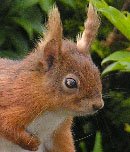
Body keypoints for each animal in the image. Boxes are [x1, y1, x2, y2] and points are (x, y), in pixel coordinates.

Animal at [0, 2, 103, 152]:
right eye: (70, 83)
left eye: (97, 72)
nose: (98, 105)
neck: (54, 112)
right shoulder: (15, 103)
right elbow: (6, 125)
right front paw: (33, 143)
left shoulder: (60, 131)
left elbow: (64, 145)